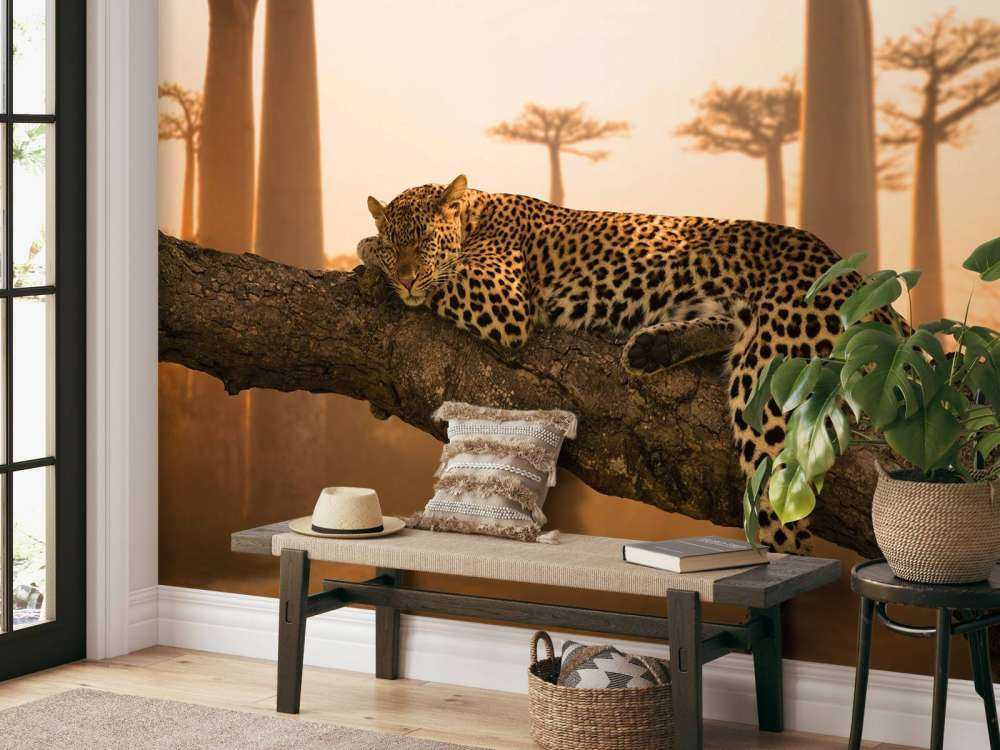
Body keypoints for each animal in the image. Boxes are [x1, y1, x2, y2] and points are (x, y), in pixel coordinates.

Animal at [359, 174, 871, 553]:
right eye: (396, 244)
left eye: (425, 240)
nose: (406, 279)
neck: (476, 212)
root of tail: (861, 282)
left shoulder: (501, 301)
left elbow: (442, 278)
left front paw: (365, 247)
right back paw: (652, 349)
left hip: (772, 388)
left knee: (784, 518)